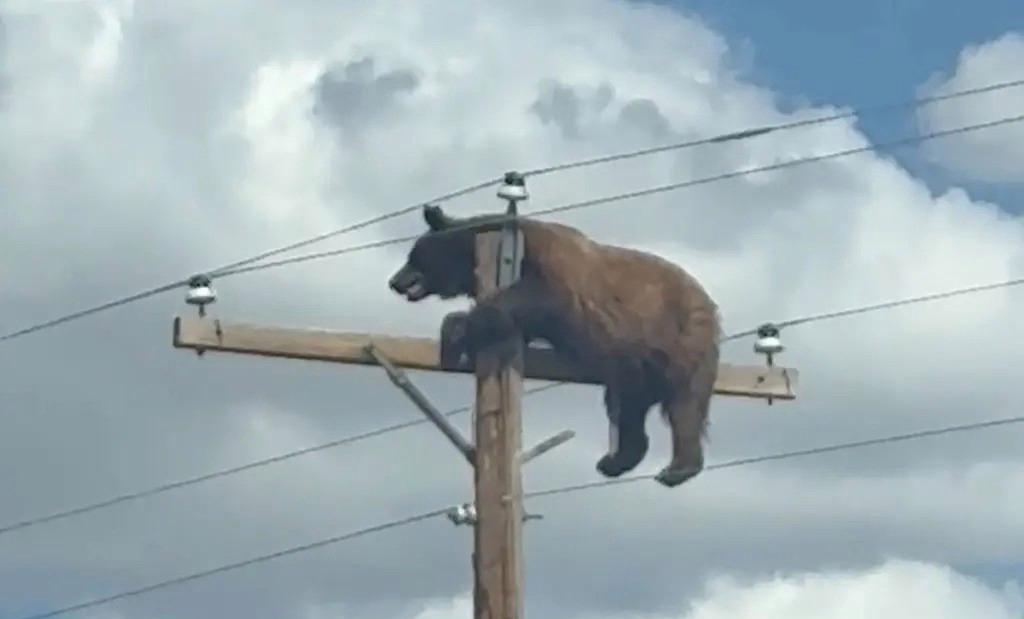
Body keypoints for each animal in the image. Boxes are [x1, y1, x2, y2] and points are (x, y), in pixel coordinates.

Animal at [388, 204, 721, 487]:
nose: (394, 281)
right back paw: (616, 460)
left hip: (680, 337)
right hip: (634, 363)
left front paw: (454, 330)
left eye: (413, 255)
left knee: (684, 403)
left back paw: (676, 468)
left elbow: (534, 296)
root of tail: (709, 304)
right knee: (629, 406)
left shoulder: (552, 270)